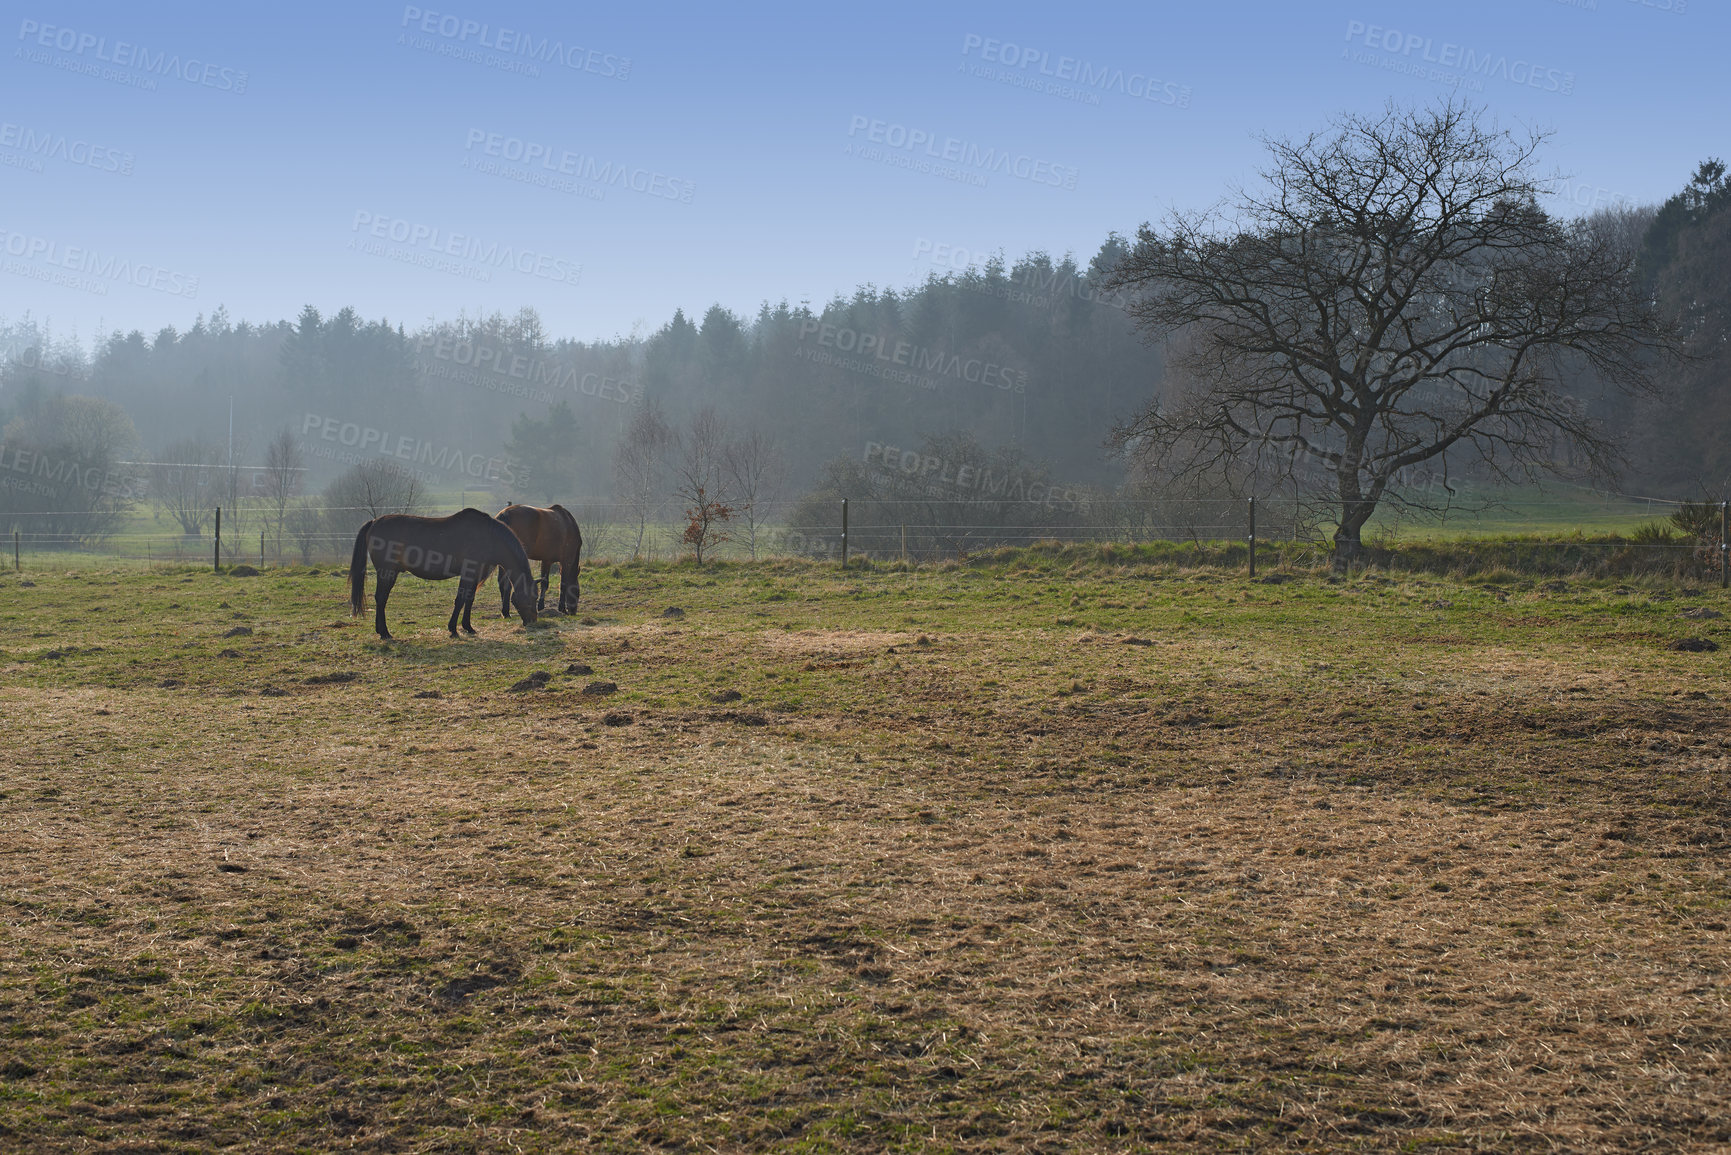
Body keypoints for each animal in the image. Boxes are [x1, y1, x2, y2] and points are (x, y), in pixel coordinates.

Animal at [347, 512, 536, 647]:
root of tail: (374, 522)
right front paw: (453, 629)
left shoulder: (474, 575)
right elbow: (460, 600)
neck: (489, 537)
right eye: (528, 600)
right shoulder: (468, 573)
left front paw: (468, 627)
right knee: (381, 599)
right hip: (387, 573)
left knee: (380, 599)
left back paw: (380, 631)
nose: (533, 622)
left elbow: (469, 600)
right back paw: (385, 632)